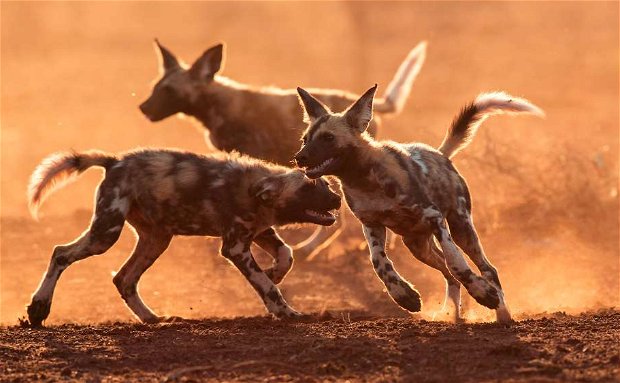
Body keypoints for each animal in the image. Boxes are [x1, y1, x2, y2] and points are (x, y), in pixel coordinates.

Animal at [26, 148, 342, 326]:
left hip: (156, 240)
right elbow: (267, 287)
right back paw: (38, 309)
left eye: (326, 185)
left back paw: (152, 319)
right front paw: (286, 311)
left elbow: (287, 254)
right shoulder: (235, 247)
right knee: (61, 253)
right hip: (106, 235)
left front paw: (275, 272)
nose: (338, 199)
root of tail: (115, 162)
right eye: (308, 189)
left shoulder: (260, 231)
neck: (254, 190)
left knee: (124, 279)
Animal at [137, 39, 424, 258]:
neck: (216, 104)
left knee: (338, 221)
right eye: (156, 88)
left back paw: (308, 249)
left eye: (169, 91)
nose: (143, 108)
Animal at [296, 85, 544, 324]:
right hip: (416, 245)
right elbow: (379, 262)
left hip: (461, 228)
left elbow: (456, 262)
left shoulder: (435, 218)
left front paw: (484, 294)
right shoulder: (371, 225)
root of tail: (441, 155)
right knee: (448, 274)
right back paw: (452, 313)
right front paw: (403, 296)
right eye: (305, 139)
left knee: (484, 268)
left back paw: (501, 312)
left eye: (328, 138)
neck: (363, 179)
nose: (299, 157)